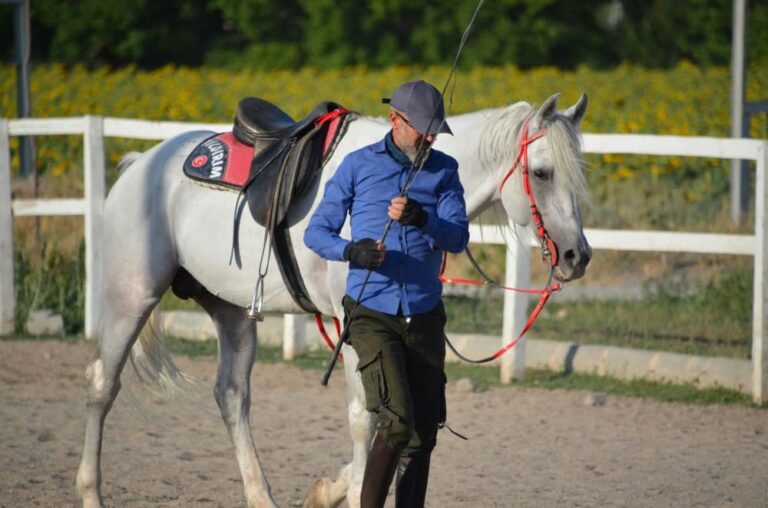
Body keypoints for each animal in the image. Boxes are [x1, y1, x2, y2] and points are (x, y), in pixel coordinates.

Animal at [76, 92, 591, 508]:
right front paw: (352, 488)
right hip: (131, 296)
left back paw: (261, 497)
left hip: (232, 310)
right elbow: (365, 420)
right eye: (542, 173)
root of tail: (143, 164)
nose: (577, 255)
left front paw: (330, 489)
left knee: (231, 396)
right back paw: (91, 493)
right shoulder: (357, 330)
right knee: (102, 385)